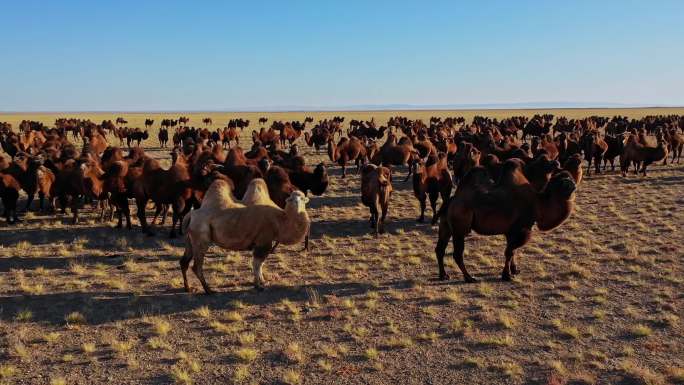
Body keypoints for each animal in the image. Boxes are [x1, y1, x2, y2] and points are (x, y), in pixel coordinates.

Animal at [436, 160, 576, 282]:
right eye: (565, 182)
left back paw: (444, 275)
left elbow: (512, 251)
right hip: (459, 227)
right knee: (457, 254)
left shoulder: (511, 231)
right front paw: (506, 276)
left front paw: (514, 270)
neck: (538, 203)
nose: (573, 185)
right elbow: (509, 251)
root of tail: (451, 200)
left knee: (440, 249)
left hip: (445, 225)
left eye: (571, 178)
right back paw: (469, 278)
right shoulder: (523, 229)